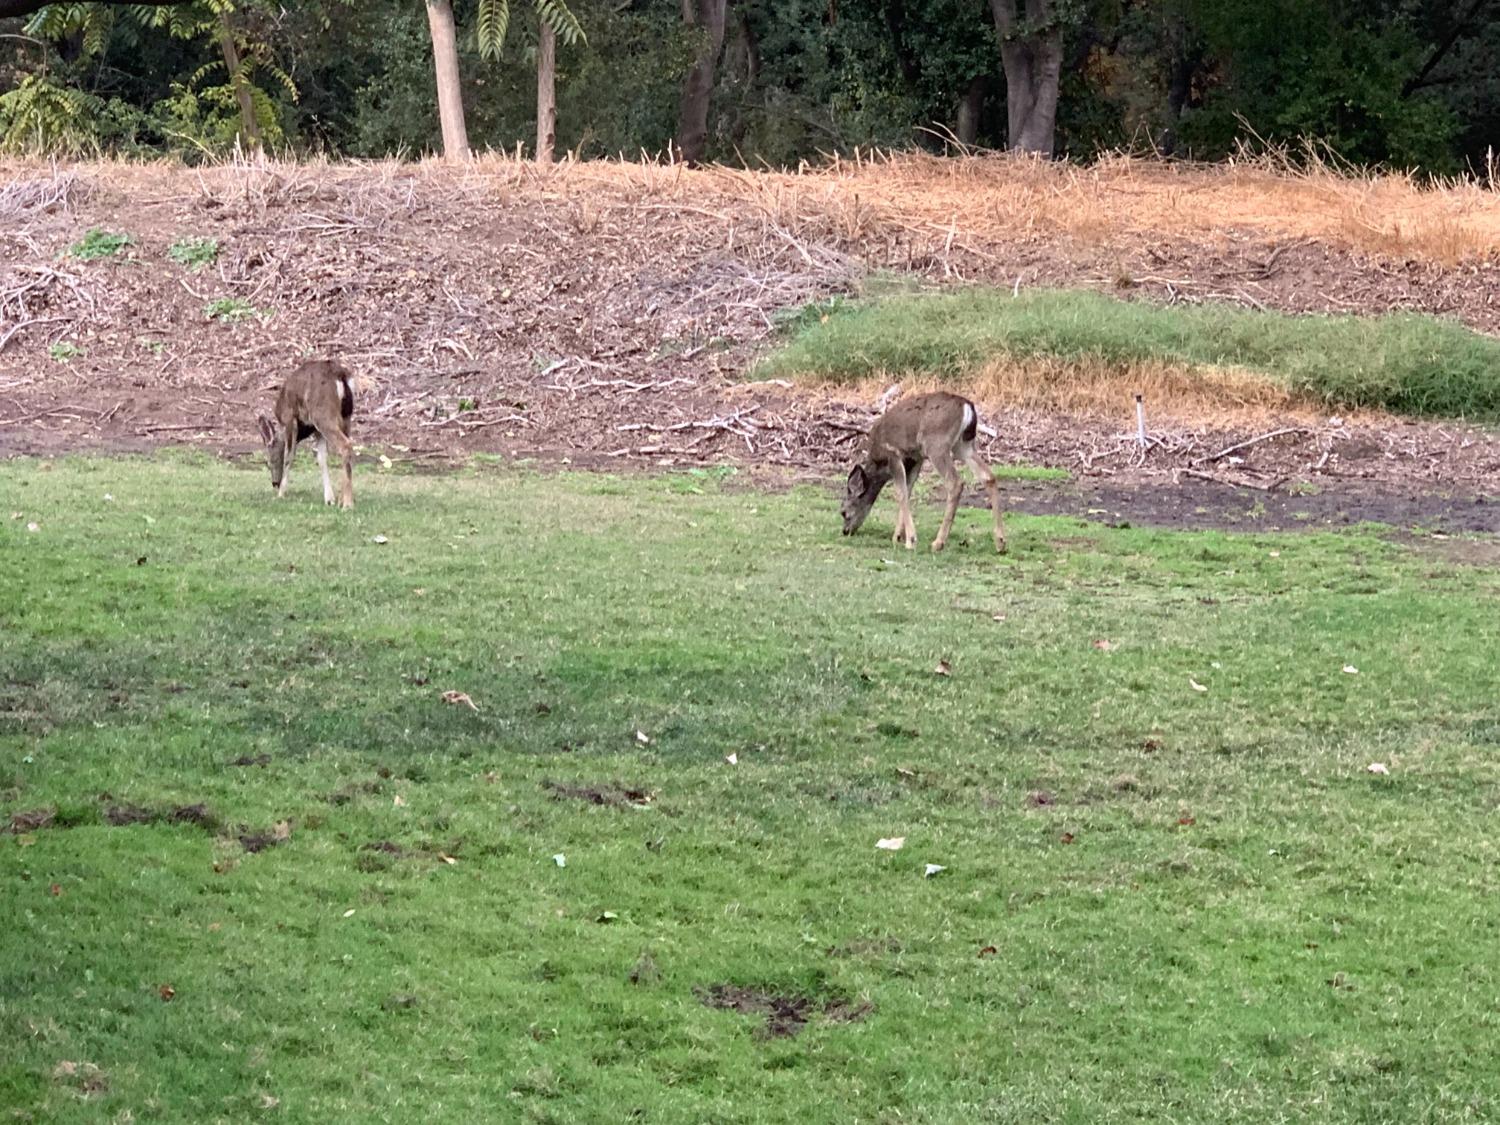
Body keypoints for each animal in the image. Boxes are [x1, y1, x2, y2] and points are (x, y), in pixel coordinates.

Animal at [256, 361, 355, 510]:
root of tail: (341, 376)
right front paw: (329, 499)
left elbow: (289, 456)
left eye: (269, 461)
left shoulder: (289, 418)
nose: (275, 483)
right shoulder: (316, 430)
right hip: (346, 417)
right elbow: (321, 459)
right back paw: (343, 501)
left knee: (345, 445)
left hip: (323, 414)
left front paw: (281, 494)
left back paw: (348, 504)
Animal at [834, 393, 1008, 558]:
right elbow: (908, 490)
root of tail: (968, 407)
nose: (845, 531)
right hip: (963, 445)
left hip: (936, 445)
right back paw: (1000, 543)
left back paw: (938, 543)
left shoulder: (893, 454)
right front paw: (898, 536)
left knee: (955, 482)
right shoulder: (916, 457)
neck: (877, 461)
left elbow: (900, 493)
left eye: (843, 512)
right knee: (988, 476)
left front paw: (910, 540)